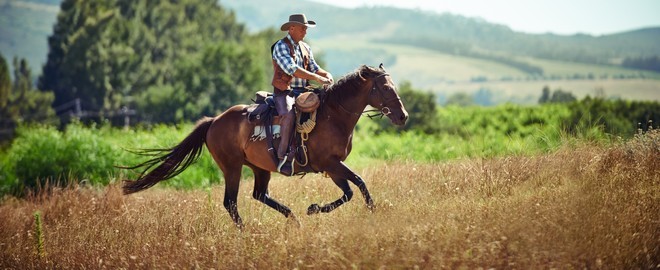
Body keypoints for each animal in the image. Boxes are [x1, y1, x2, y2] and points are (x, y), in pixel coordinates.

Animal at [122, 64, 408, 227]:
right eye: (385, 87)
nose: (403, 116)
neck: (333, 115)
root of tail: (214, 121)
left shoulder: (332, 166)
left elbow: (350, 191)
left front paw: (314, 209)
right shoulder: (330, 163)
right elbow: (358, 182)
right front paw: (371, 213)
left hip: (260, 167)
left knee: (259, 195)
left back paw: (293, 220)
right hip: (232, 167)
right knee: (231, 203)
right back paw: (246, 231)